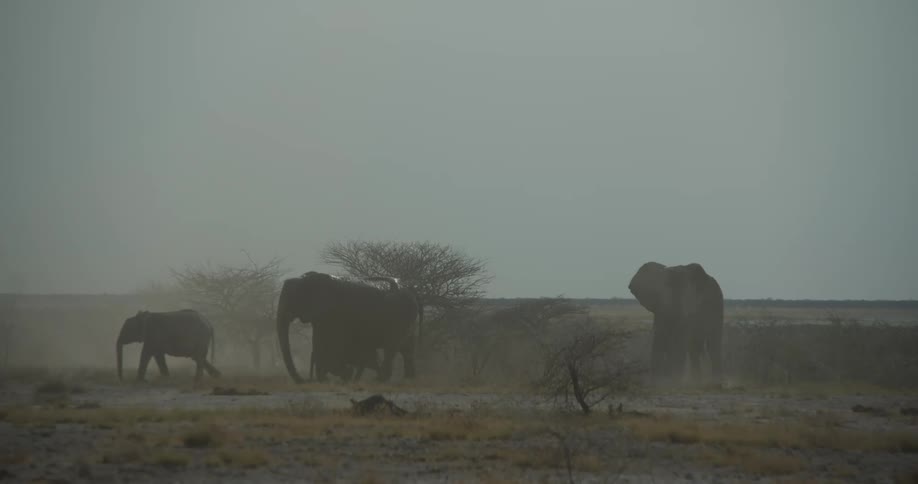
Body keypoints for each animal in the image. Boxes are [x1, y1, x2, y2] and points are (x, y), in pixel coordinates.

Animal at [276, 272, 419, 383]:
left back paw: (380, 379)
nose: (306, 380)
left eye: (292, 299)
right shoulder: (322, 316)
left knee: (391, 347)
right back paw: (408, 379)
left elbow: (331, 341)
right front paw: (328, 378)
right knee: (407, 349)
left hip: (398, 316)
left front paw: (343, 374)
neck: (305, 279)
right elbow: (319, 340)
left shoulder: (333, 313)